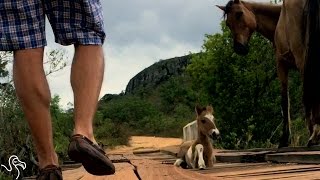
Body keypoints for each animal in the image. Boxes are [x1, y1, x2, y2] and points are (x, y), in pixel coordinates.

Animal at [216, 0, 320, 147]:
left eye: (239, 14)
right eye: (227, 23)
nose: (239, 48)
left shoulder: (281, 64)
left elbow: (285, 101)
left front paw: (285, 139)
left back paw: (314, 135)